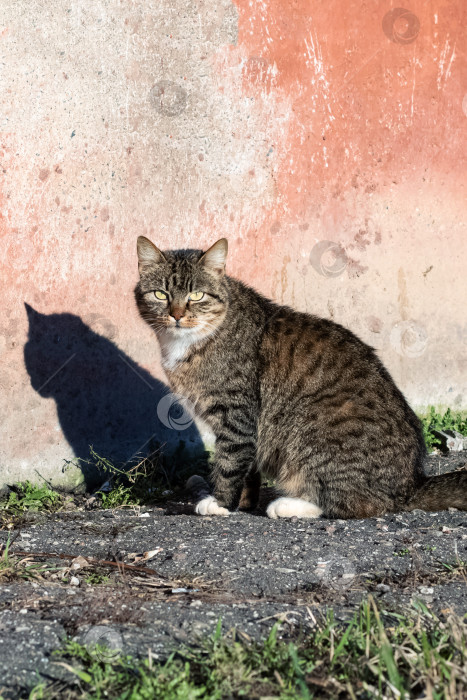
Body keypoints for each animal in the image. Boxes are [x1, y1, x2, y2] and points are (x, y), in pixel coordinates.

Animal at [133, 238, 466, 516]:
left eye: (197, 295)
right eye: (161, 294)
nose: (176, 315)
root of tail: (411, 484)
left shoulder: (236, 414)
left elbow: (230, 461)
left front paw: (221, 504)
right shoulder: (246, 424)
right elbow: (248, 467)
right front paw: (244, 503)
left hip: (311, 433)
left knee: (355, 504)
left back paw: (287, 505)